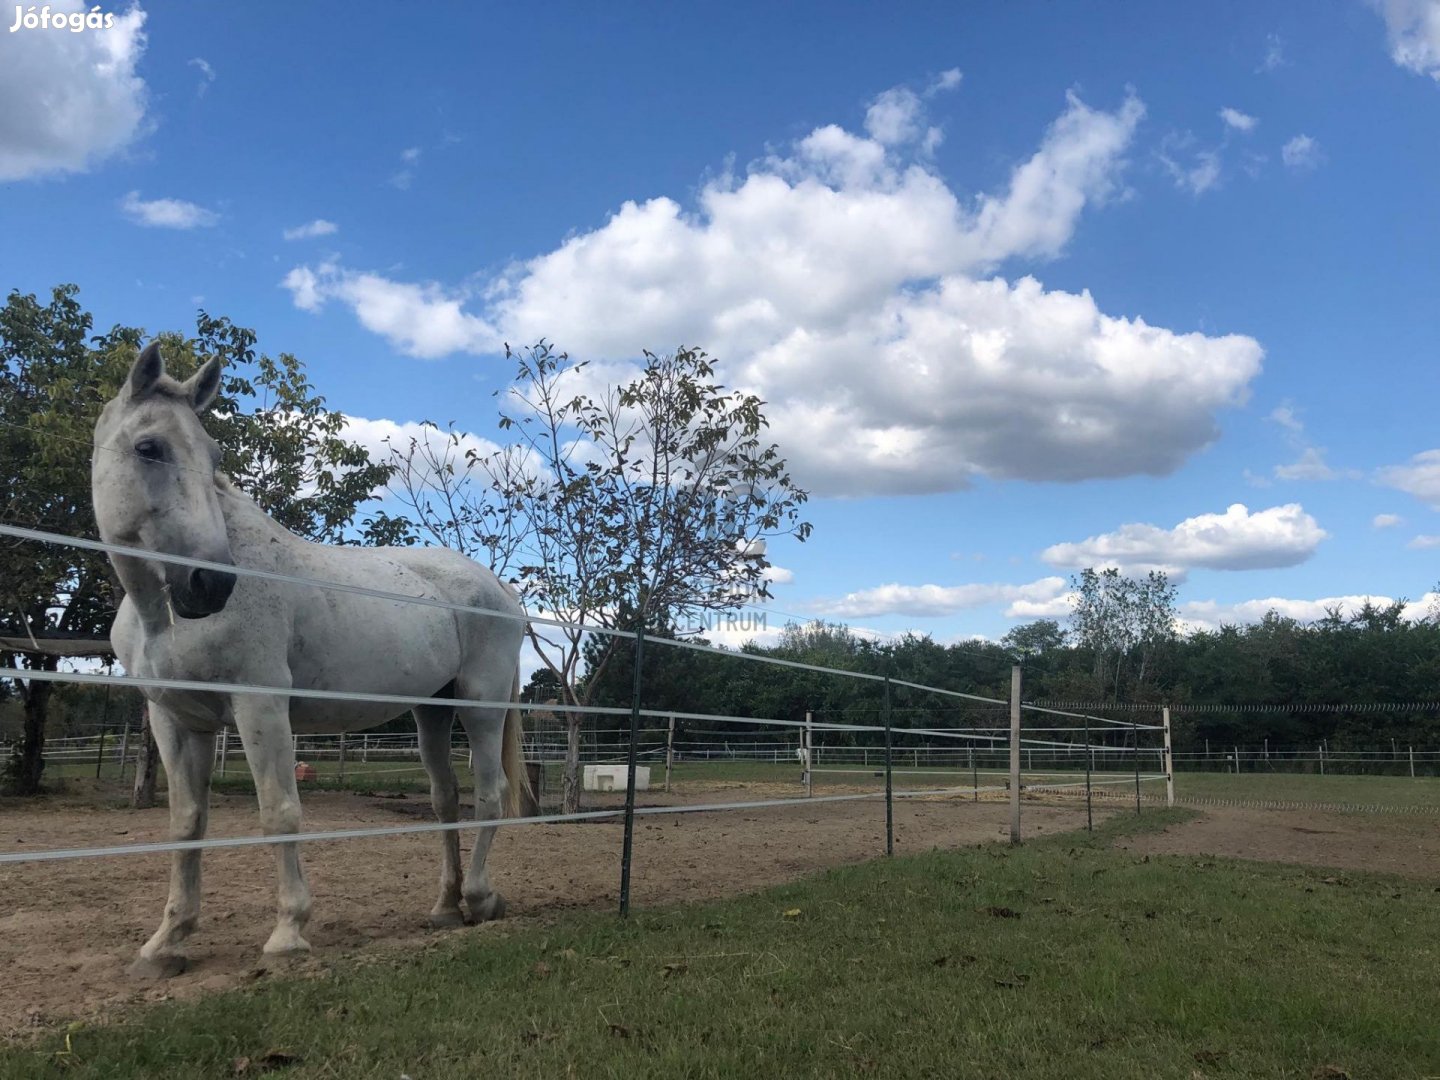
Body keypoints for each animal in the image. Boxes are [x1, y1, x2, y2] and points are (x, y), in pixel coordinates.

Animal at [91, 347, 529, 979]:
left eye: (213, 455)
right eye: (149, 447)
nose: (211, 584)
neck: (162, 617)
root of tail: (500, 588)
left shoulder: (260, 706)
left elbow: (280, 813)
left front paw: (288, 934)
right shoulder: (176, 722)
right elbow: (186, 823)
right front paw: (166, 944)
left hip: (482, 706)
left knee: (490, 795)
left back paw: (481, 899)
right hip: (431, 712)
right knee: (445, 799)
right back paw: (445, 907)